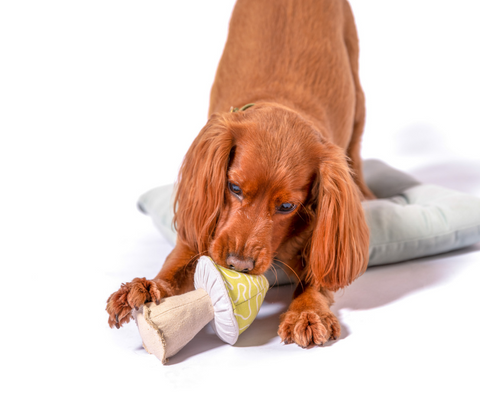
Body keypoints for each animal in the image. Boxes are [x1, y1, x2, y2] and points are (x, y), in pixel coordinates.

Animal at [108, 0, 376, 348]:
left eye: (287, 207)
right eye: (233, 187)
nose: (239, 265)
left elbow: (318, 274)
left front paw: (306, 312)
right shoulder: (200, 224)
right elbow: (174, 266)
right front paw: (143, 287)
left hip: (357, 89)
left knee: (355, 145)